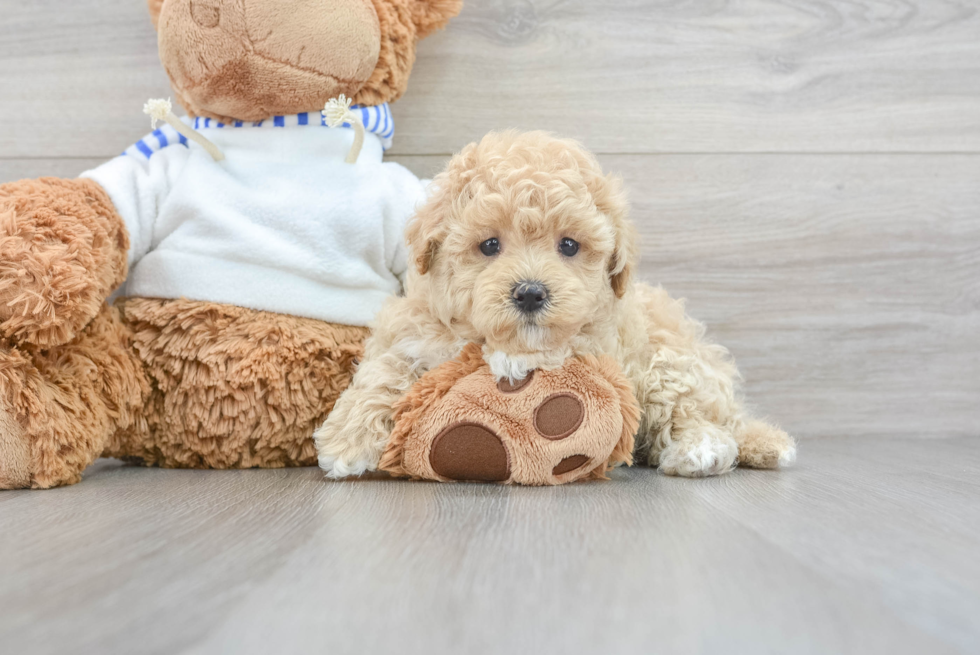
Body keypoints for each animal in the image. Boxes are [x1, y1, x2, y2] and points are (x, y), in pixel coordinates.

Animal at [314, 131, 796, 480]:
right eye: (489, 245)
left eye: (569, 245)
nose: (530, 293)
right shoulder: (411, 328)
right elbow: (384, 371)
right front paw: (348, 440)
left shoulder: (598, 339)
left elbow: (554, 348)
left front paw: (510, 362)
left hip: (670, 361)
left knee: (693, 412)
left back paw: (700, 448)